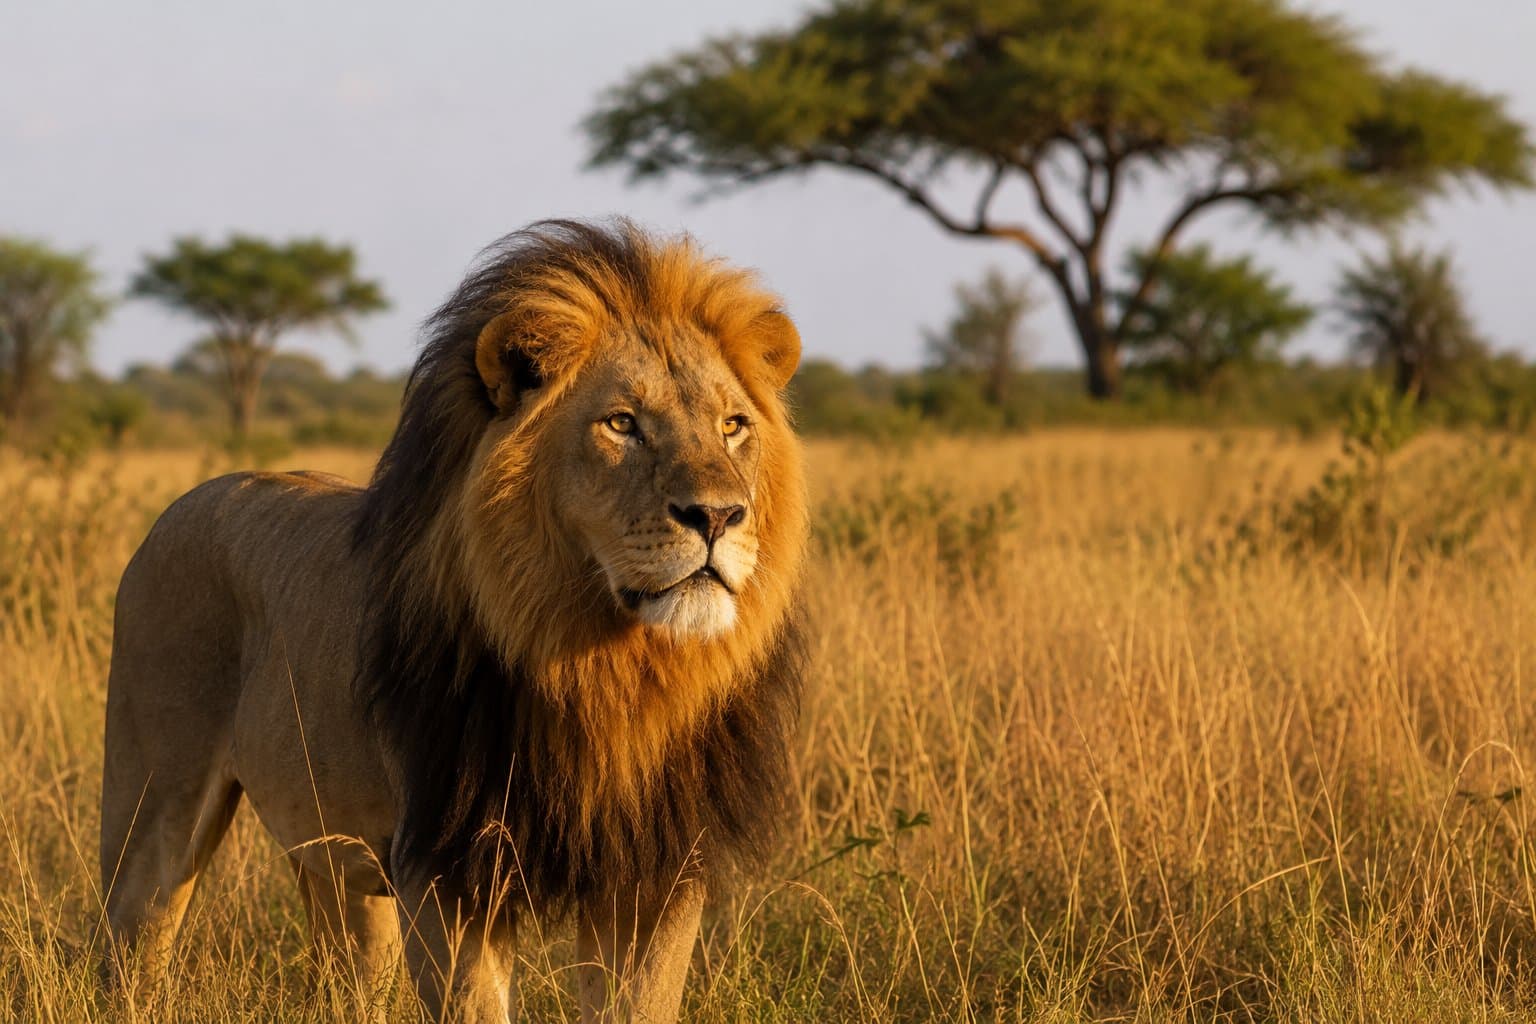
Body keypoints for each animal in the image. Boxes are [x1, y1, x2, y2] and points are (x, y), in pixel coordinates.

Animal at [100, 219, 809, 1022]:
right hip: (155, 807)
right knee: (130, 943)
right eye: (622, 424)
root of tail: (179, 507)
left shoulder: (657, 874)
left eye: (734, 426)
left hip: (342, 865)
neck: (611, 671)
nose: (718, 516)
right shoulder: (449, 868)